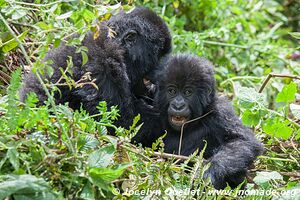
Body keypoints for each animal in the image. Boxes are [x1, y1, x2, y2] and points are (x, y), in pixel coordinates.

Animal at [136, 53, 262, 189]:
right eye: (172, 91)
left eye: (188, 92)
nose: (178, 105)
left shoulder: (220, 111)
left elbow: (243, 141)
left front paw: (209, 170)